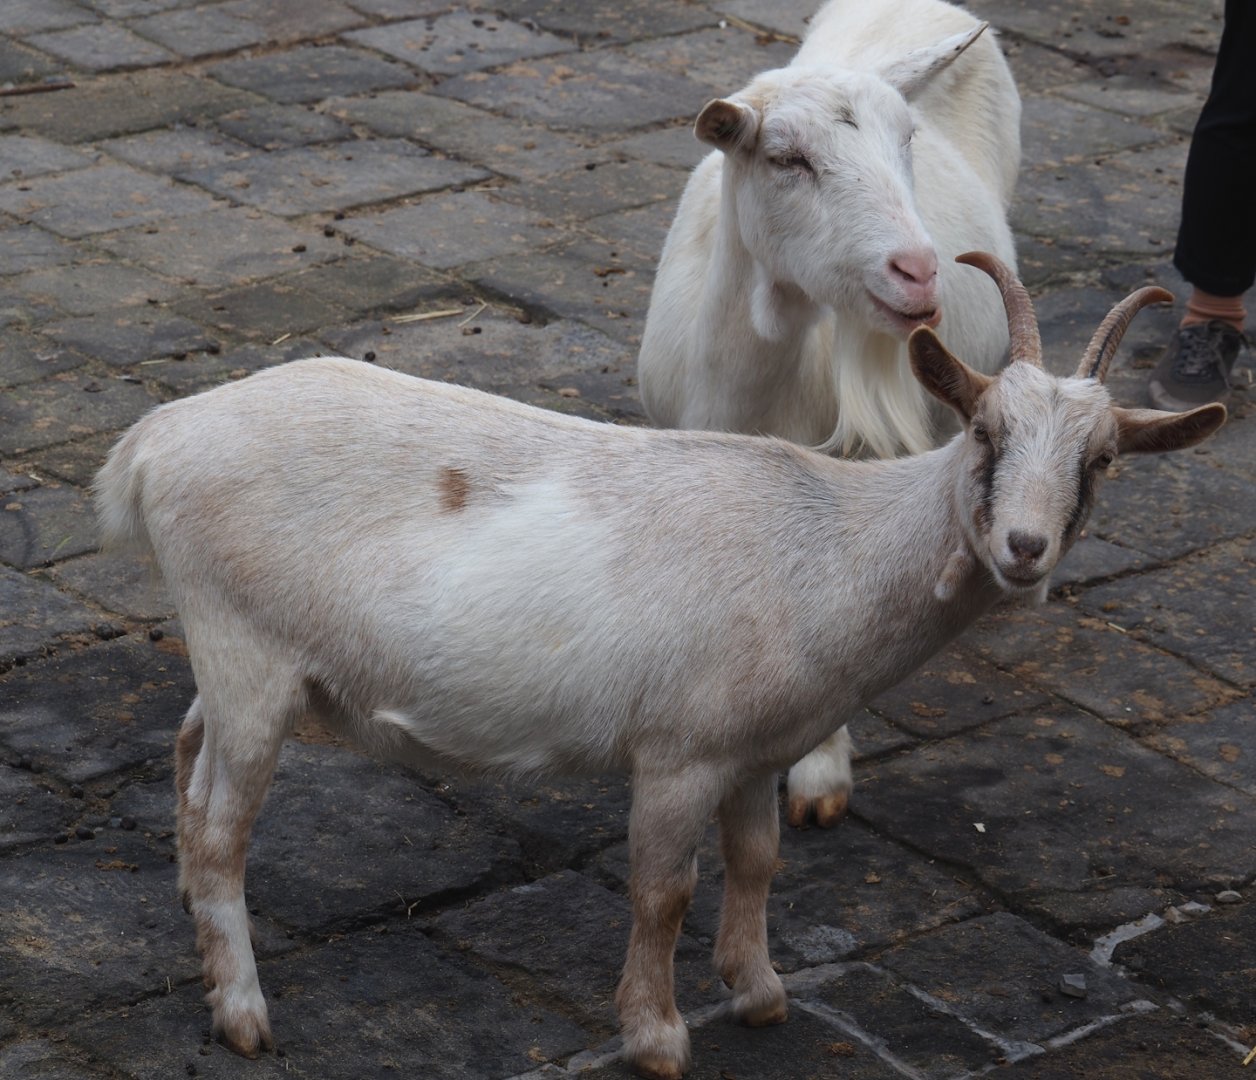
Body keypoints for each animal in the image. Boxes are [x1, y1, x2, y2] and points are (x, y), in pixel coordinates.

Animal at [95, 255, 1222, 1080]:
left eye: (1100, 460)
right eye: (985, 431)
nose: (1023, 551)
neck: (833, 543)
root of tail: (150, 444)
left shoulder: (758, 748)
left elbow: (756, 861)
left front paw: (759, 993)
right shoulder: (678, 752)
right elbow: (660, 892)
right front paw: (657, 1036)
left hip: (240, 660)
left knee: (190, 763)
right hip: (247, 650)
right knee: (226, 832)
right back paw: (243, 1012)